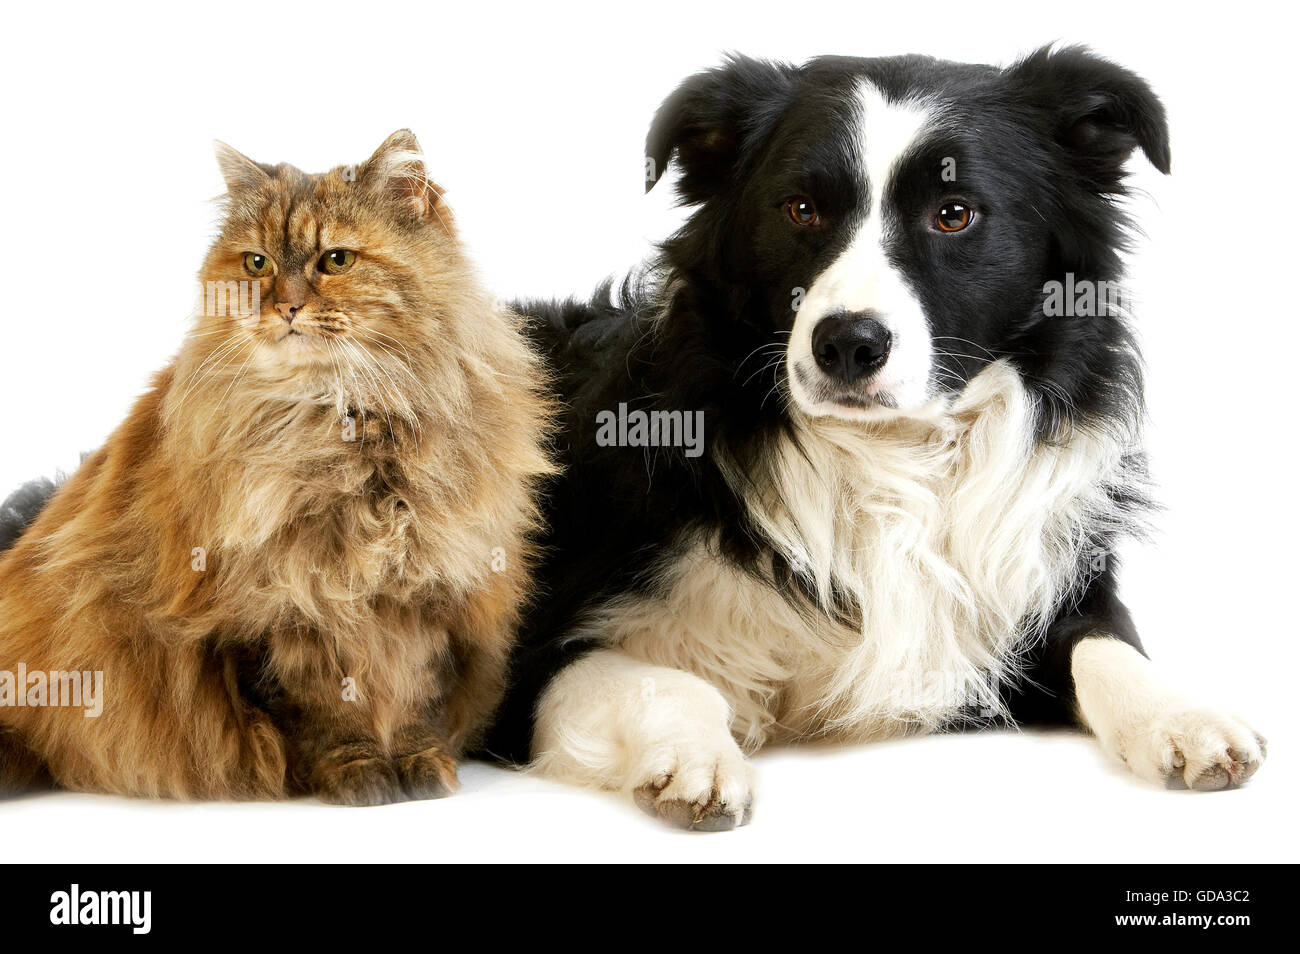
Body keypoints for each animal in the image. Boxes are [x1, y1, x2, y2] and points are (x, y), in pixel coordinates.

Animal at [0, 130, 553, 805]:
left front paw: (420, 766)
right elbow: (326, 714)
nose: (286, 308)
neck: (343, 435)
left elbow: (414, 700)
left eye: (336, 261)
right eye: (257, 264)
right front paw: (361, 773)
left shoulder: (430, 600)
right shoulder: (275, 615)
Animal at [473, 48, 1263, 831]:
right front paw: (697, 762)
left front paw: (1186, 719)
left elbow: (1107, 643)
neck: (886, 454)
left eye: (954, 214)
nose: (848, 345)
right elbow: (670, 682)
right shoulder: (526, 660)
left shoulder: (1036, 588)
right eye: (800, 209)